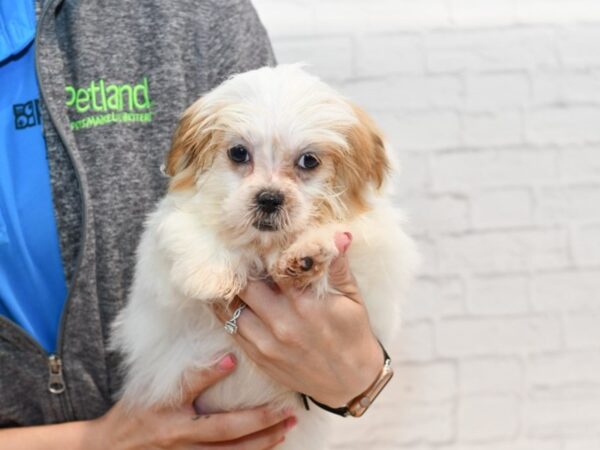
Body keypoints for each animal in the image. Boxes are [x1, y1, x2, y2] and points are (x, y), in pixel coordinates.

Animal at [112, 64, 420, 450]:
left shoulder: (376, 265)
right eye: (238, 153)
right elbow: (187, 232)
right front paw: (211, 272)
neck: (263, 244)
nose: (269, 198)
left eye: (309, 160)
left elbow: (344, 240)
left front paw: (310, 251)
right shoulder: (160, 270)